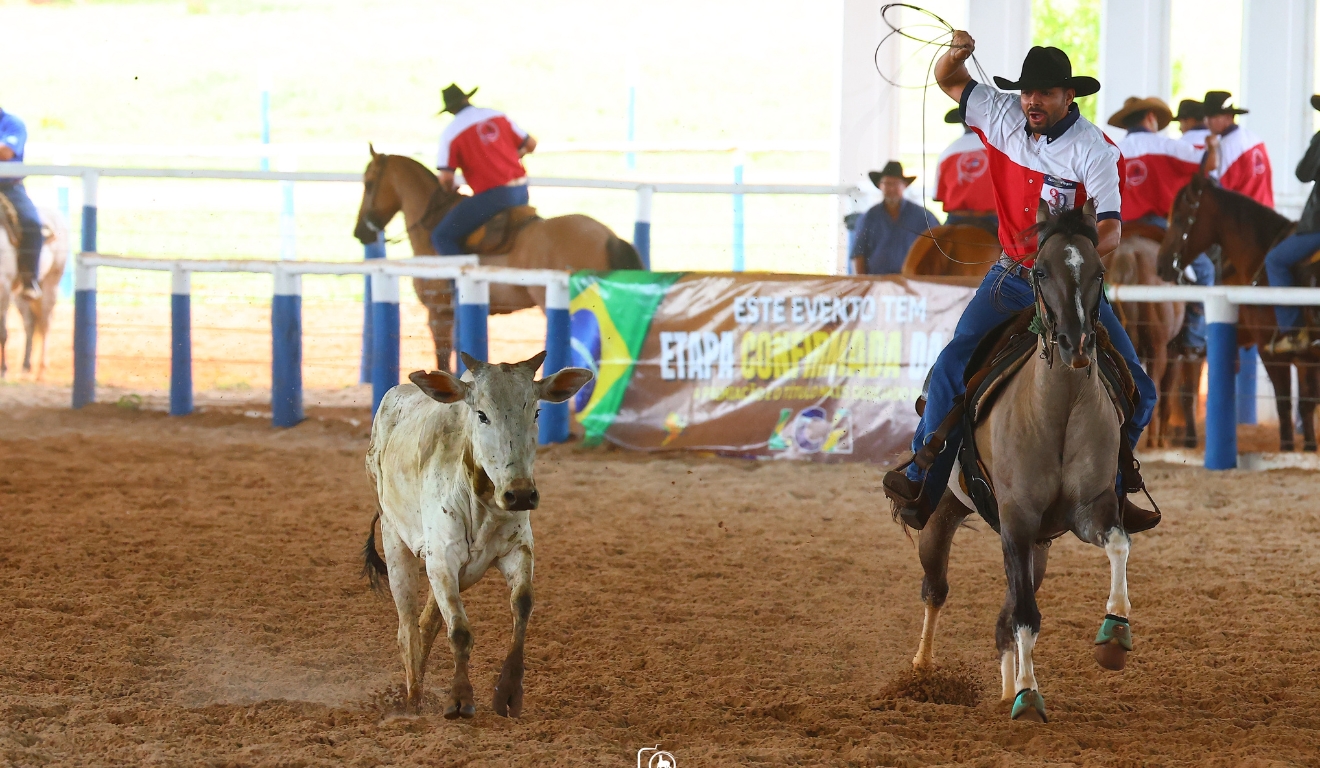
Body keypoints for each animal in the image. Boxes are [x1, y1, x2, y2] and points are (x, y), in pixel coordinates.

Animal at [0, 206, 69, 379]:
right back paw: (26, 366)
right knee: (30, 323)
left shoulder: (3, 288)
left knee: (45, 323)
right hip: (21, 295)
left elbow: (2, 332)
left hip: (50, 285)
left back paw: (41, 369)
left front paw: (3, 370)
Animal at [907, 204, 1135, 723]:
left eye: (1099, 271)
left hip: (1040, 547)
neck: (1057, 410)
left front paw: (1114, 634)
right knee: (935, 587)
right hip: (945, 510)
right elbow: (1026, 616)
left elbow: (1118, 544)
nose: (1075, 344)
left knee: (1003, 617)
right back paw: (923, 669)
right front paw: (1030, 696)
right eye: (1041, 270)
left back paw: (1006, 687)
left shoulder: (1088, 510)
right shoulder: (1016, 519)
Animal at [1155, 174, 1318, 451]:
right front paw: (1308, 446)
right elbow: (1305, 404)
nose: (1162, 265)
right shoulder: (1304, 357)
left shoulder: (1271, 351)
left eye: (1178, 218)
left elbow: (1286, 404)